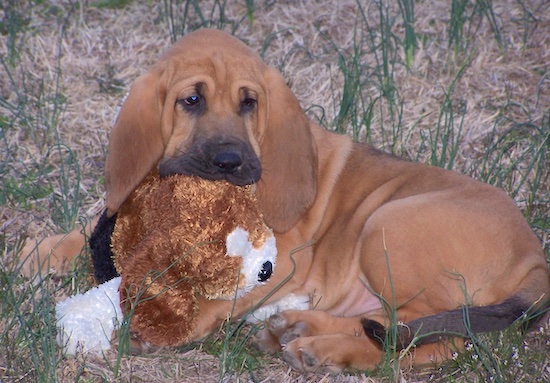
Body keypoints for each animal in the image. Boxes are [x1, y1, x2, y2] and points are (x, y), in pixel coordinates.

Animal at [20, 28, 548, 374]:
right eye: (191, 100)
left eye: (249, 103)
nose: (230, 161)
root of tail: (536, 259)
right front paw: (42, 251)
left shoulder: (284, 256)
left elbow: (222, 294)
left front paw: (165, 323)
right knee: (398, 322)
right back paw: (294, 327)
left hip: (388, 224)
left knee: (434, 337)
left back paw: (326, 352)